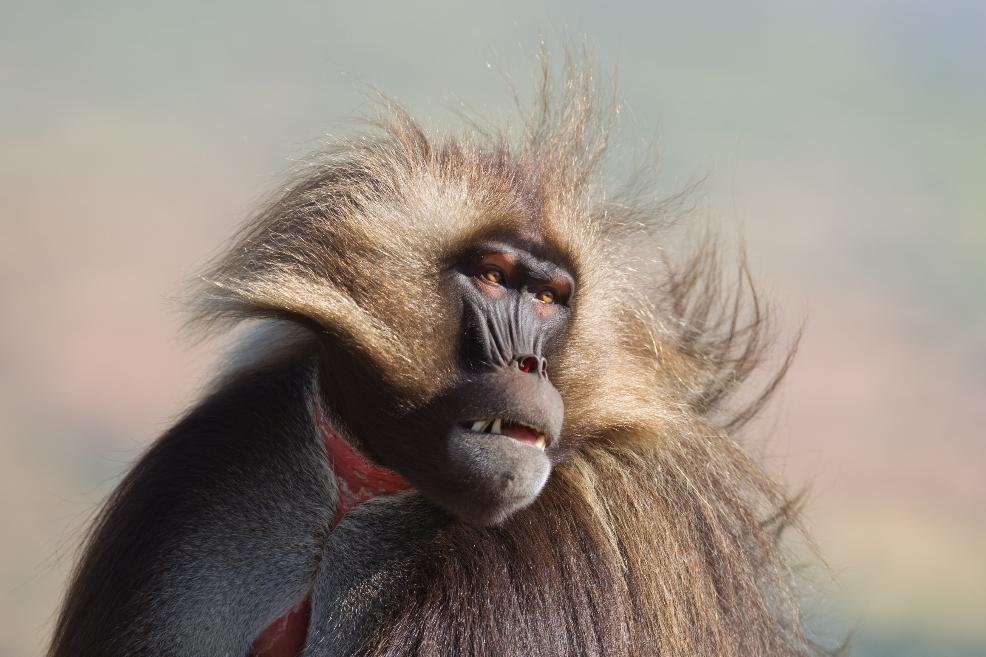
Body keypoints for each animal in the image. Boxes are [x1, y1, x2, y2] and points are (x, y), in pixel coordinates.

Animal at [48, 64, 822, 657]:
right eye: (494, 279)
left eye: (549, 297)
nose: (528, 367)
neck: (363, 488)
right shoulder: (217, 463)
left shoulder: (553, 544)